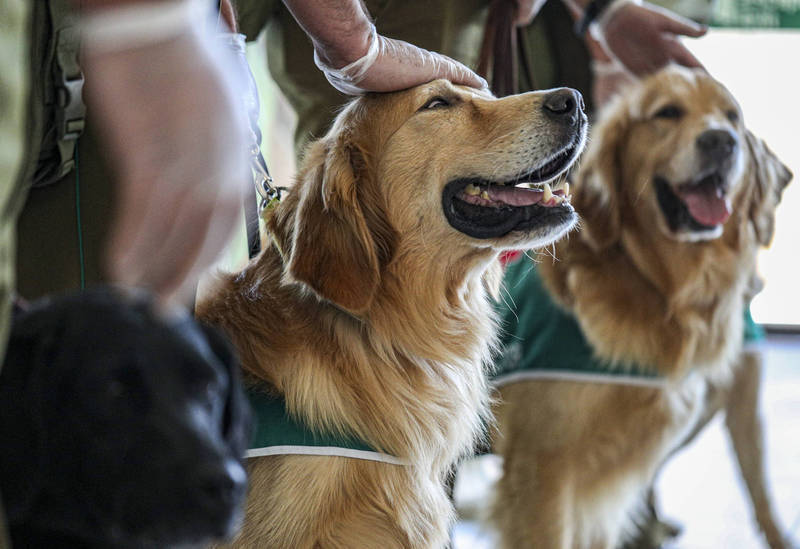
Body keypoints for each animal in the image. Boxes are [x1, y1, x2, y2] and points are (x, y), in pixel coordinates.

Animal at [490, 65, 792, 548]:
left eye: (732, 116)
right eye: (667, 113)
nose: (721, 141)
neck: (656, 285)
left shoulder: (604, 485)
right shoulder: (540, 470)